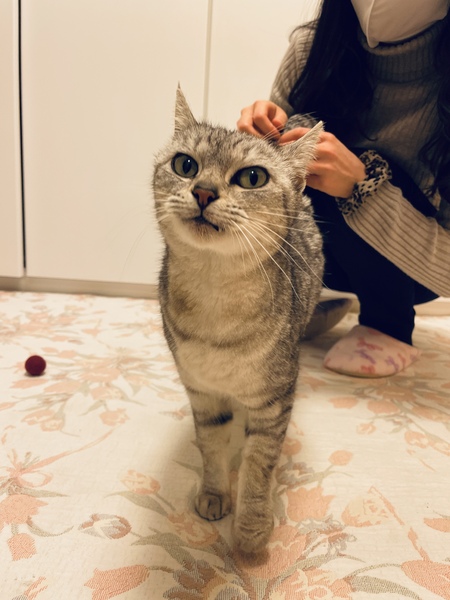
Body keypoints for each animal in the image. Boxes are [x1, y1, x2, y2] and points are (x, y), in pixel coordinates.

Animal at [153, 87, 324, 554]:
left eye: (251, 178)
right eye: (185, 165)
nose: (203, 192)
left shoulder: (273, 400)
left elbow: (258, 466)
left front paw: (250, 527)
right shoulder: (202, 393)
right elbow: (210, 448)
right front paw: (214, 494)